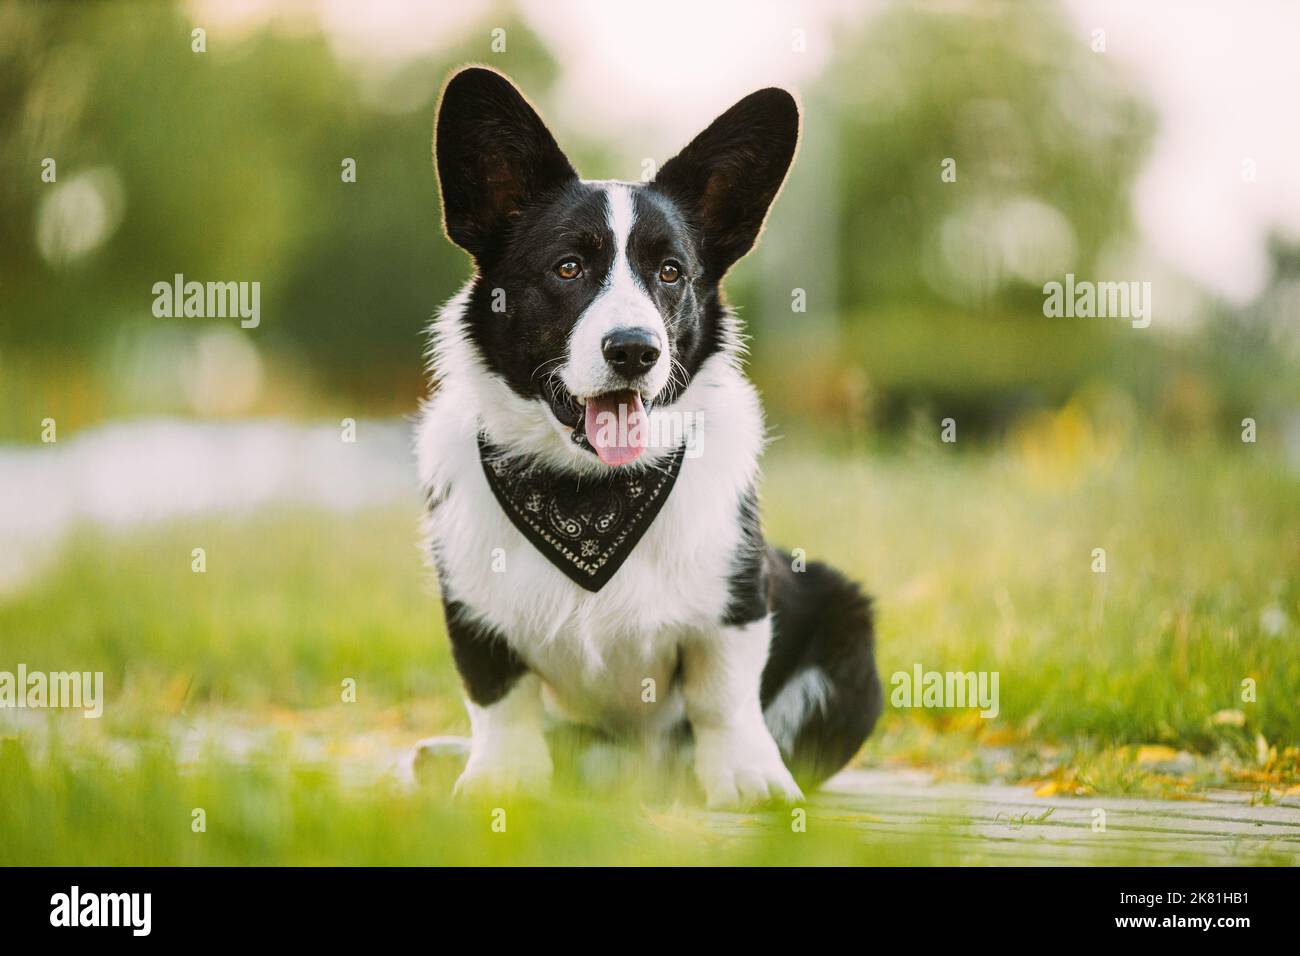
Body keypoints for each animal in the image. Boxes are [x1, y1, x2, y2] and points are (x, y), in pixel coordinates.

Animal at [416, 67, 883, 806]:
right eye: (568, 268)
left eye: (670, 272)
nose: (635, 350)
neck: (588, 491)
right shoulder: (472, 607)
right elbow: (500, 699)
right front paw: (501, 781)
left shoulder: (737, 598)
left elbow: (725, 695)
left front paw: (747, 780)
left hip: (848, 627)